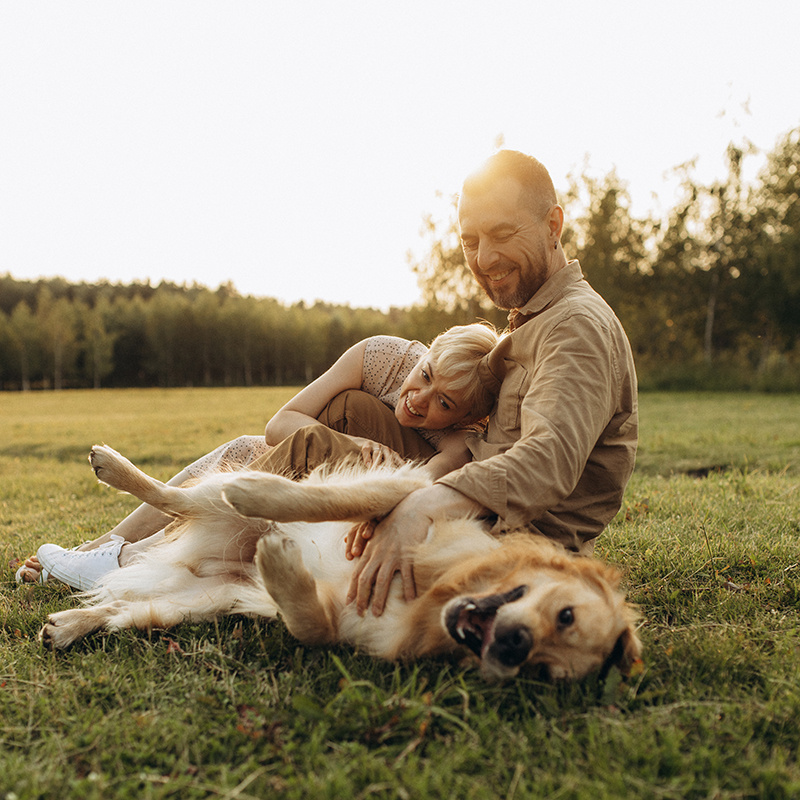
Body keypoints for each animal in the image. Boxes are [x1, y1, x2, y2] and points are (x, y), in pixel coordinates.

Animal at [39, 444, 644, 680]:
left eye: (543, 672)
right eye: (565, 613)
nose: (513, 649)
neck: (439, 589)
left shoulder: (345, 623)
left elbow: (310, 624)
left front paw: (281, 569)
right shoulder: (411, 491)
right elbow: (325, 501)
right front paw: (261, 497)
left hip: (200, 602)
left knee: (124, 609)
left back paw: (68, 626)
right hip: (205, 514)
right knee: (176, 497)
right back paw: (117, 468)